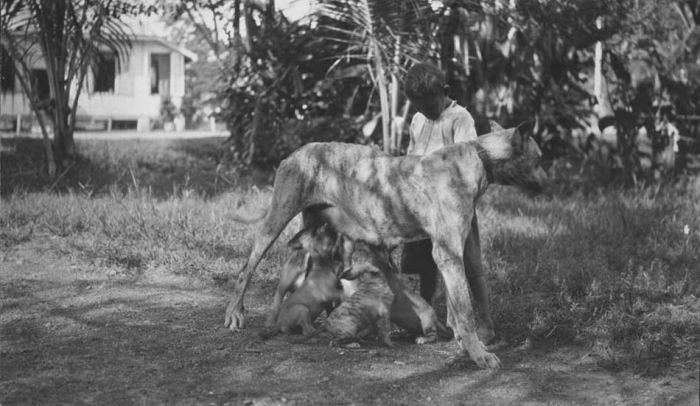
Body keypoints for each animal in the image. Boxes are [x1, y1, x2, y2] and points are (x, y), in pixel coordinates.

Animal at [224, 120, 548, 368]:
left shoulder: (453, 254)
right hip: (275, 221)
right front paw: (479, 355)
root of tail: (295, 152)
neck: (480, 155)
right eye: (538, 157)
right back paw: (235, 314)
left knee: (283, 285)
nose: (548, 185)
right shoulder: (448, 253)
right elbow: (466, 311)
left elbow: (458, 305)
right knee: (246, 269)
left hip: (307, 237)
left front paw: (457, 337)